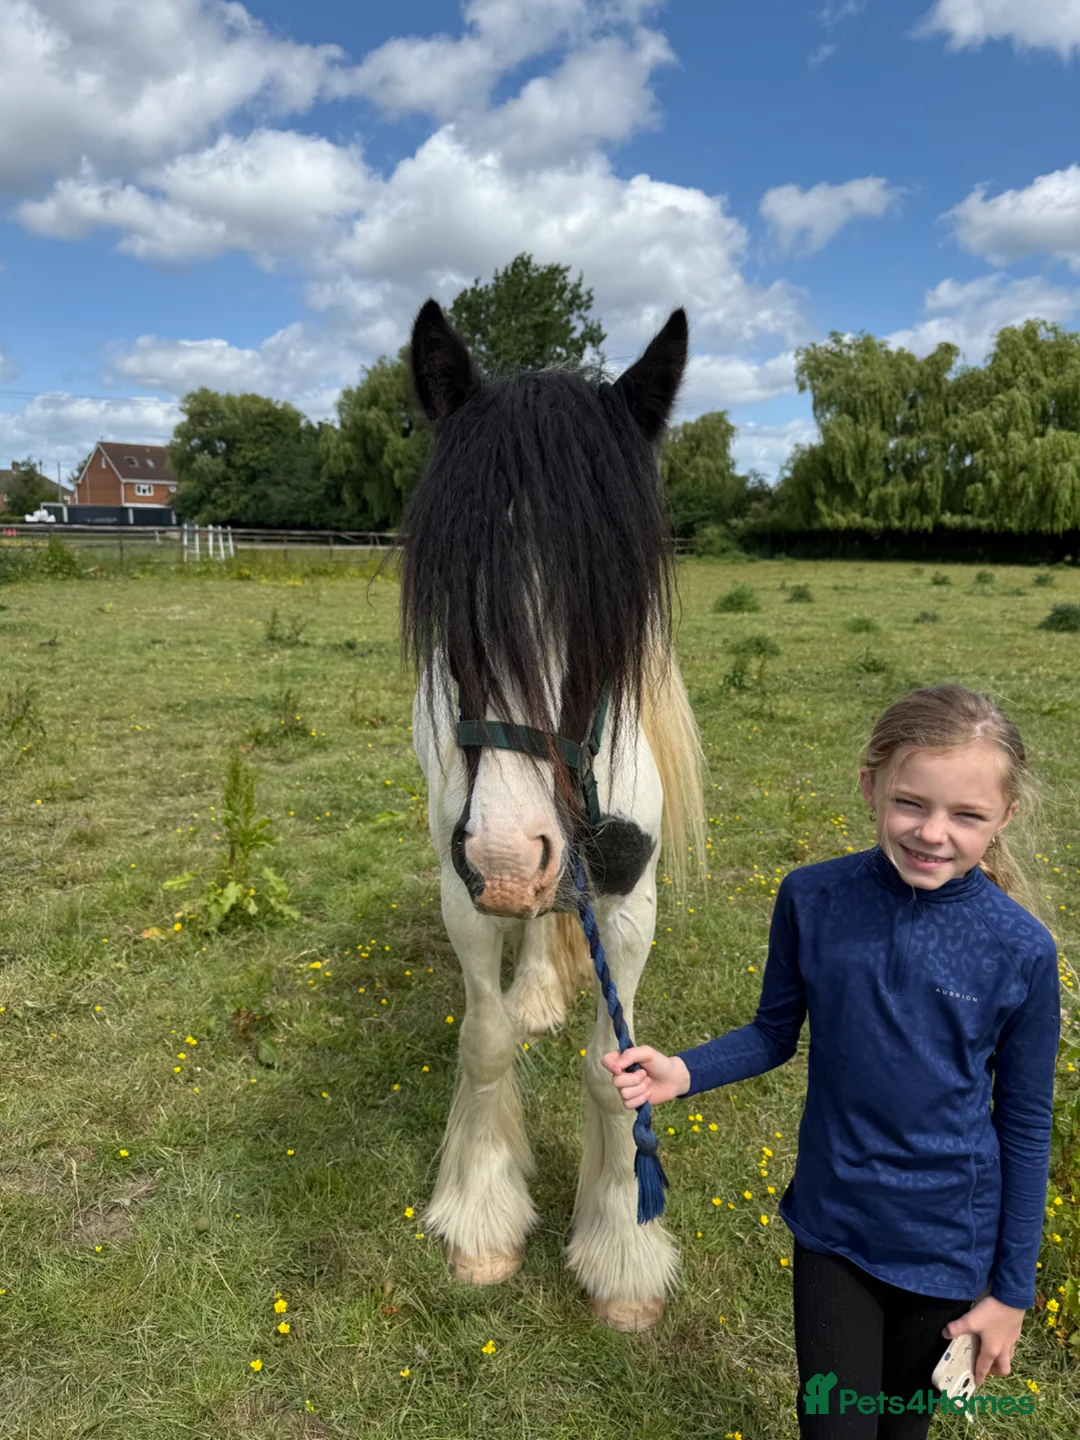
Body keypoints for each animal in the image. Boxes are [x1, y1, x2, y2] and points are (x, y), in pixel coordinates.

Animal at [400, 299, 705, 1331]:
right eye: (451, 604)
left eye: (613, 605)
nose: (505, 853)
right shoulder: (464, 889)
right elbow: (485, 1038)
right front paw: (483, 1212)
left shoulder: (629, 900)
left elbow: (616, 1073)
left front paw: (621, 1253)